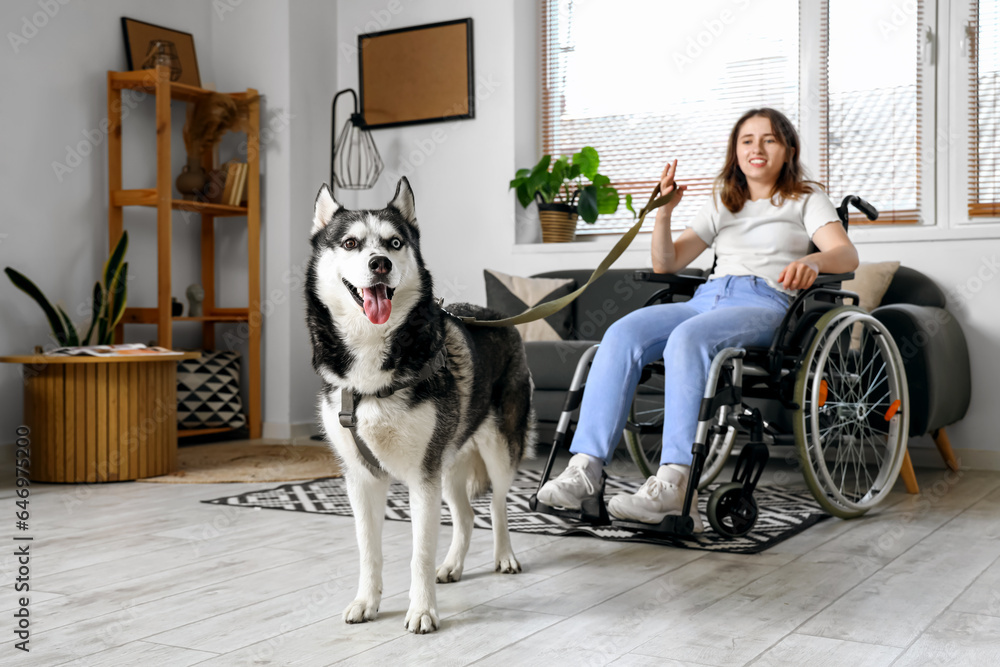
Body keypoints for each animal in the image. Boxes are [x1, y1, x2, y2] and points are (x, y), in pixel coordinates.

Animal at [304, 176, 536, 632]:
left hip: (498, 449)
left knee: (498, 504)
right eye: (351, 243)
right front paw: (366, 602)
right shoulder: (362, 479)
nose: (380, 264)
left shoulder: (420, 478)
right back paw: (453, 566)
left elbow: (419, 554)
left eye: (394, 243)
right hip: (448, 462)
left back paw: (504, 556)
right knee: (465, 516)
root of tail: (497, 316)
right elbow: (369, 550)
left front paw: (423, 611)